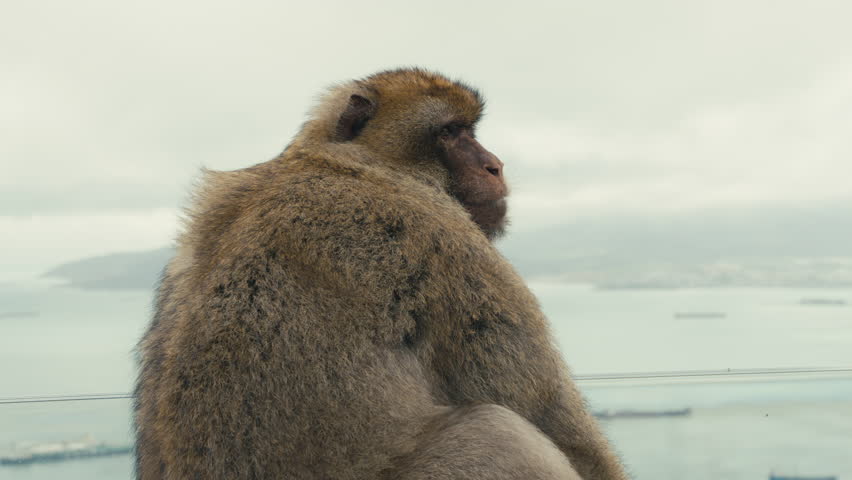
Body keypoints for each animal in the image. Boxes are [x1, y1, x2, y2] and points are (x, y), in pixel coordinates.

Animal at [133, 68, 628, 480]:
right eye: (449, 131)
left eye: (469, 130)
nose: (495, 165)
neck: (337, 159)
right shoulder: (442, 235)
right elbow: (546, 410)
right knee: (494, 432)